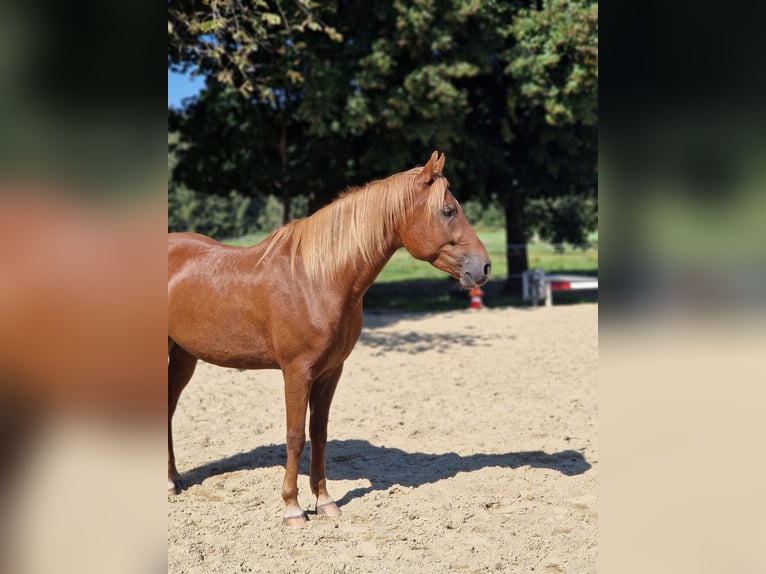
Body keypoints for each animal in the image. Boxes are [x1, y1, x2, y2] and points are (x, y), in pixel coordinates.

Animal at [168, 152, 492, 528]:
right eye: (448, 210)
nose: (483, 267)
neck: (316, 278)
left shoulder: (329, 372)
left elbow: (319, 435)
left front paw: (324, 501)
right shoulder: (296, 373)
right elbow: (295, 436)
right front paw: (292, 508)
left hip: (184, 356)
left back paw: (173, 481)